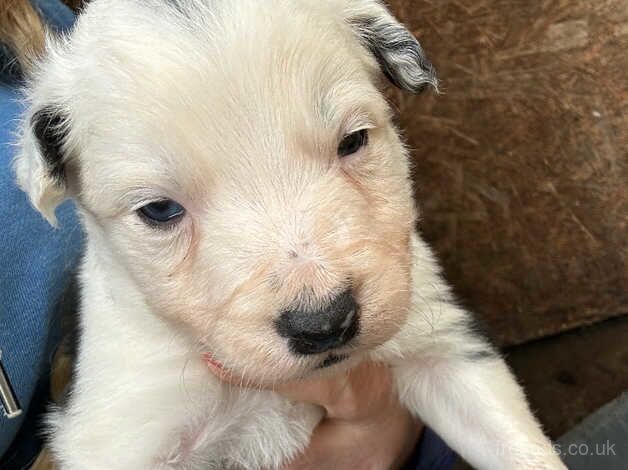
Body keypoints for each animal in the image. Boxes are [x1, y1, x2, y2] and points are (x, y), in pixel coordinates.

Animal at [12, 1, 568, 468]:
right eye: (160, 210)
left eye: (353, 141)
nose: (324, 324)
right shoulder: (126, 426)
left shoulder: (441, 343)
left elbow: (517, 445)